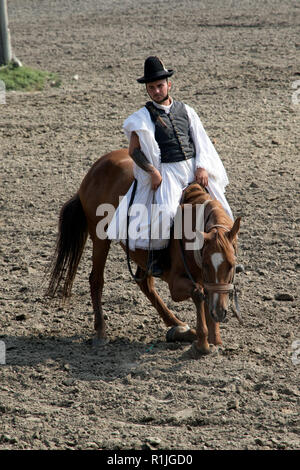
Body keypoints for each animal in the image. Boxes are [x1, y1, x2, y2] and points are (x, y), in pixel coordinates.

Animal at [46, 150, 241, 356]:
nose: (220, 312)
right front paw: (203, 342)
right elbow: (198, 294)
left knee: (145, 283)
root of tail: (95, 168)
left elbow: (208, 295)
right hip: (100, 238)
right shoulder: (176, 284)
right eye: (206, 264)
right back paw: (101, 332)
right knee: (96, 280)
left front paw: (214, 338)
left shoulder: (208, 281)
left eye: (231, 265)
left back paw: (179, 326)